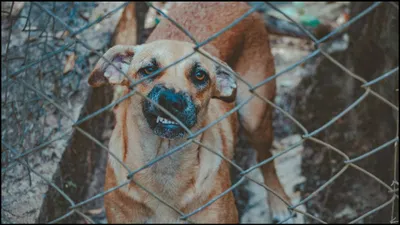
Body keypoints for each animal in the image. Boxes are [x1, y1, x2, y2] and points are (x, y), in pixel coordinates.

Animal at [89, 2, 292, 223]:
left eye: (200, 75)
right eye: (149, 69)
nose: (171, 101)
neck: (164, 164)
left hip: (255, 117)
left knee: (267, 159)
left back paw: (279, 201)